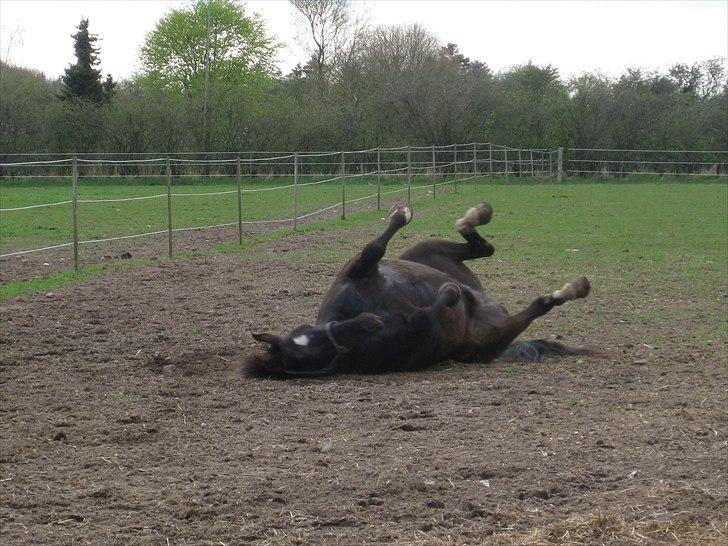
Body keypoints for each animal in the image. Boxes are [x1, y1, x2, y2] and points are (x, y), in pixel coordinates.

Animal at [247, 200, 596, 374]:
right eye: (320, 350)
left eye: (313, 333)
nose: (369, 322)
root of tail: (491, 303)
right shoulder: (419, 327)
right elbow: (430, 310)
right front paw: (449, 294)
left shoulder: (358, 270)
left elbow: (373, 248)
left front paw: (400, 213)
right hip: (493, 334)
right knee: (540, 304)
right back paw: (573, 288)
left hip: (423, 252)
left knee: (481, 247)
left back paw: (475, 215)